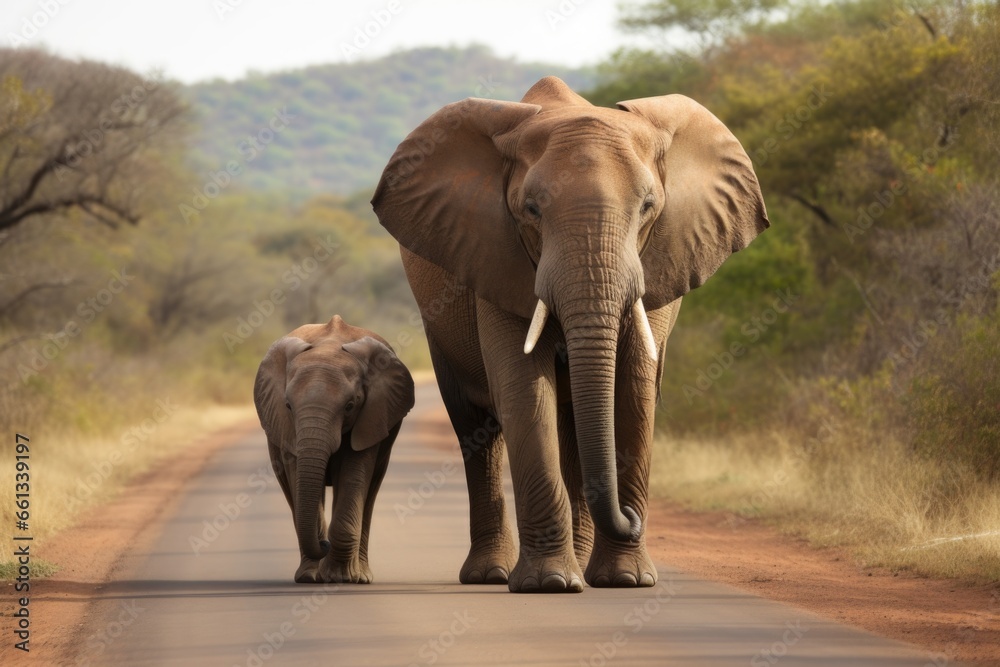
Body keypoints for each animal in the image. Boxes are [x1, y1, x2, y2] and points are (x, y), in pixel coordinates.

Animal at [253, 315, 415, 583]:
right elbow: (298, 476)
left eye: (350, 406)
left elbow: (354, 473)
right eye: (288, 406)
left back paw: (361, 576)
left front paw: (341, 578)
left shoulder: (370, 416)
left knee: (370, 490)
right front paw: (313, 576)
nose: (324, 543)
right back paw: (310, 575)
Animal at [371, 77, 768, 593]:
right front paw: (549, 584)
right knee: (475, 427)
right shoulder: (495, 255)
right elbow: (523, 387)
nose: (630, 516)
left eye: (648, 207)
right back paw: (492, 574)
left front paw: (627, 580)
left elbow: (633, 387)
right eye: (531, 209)